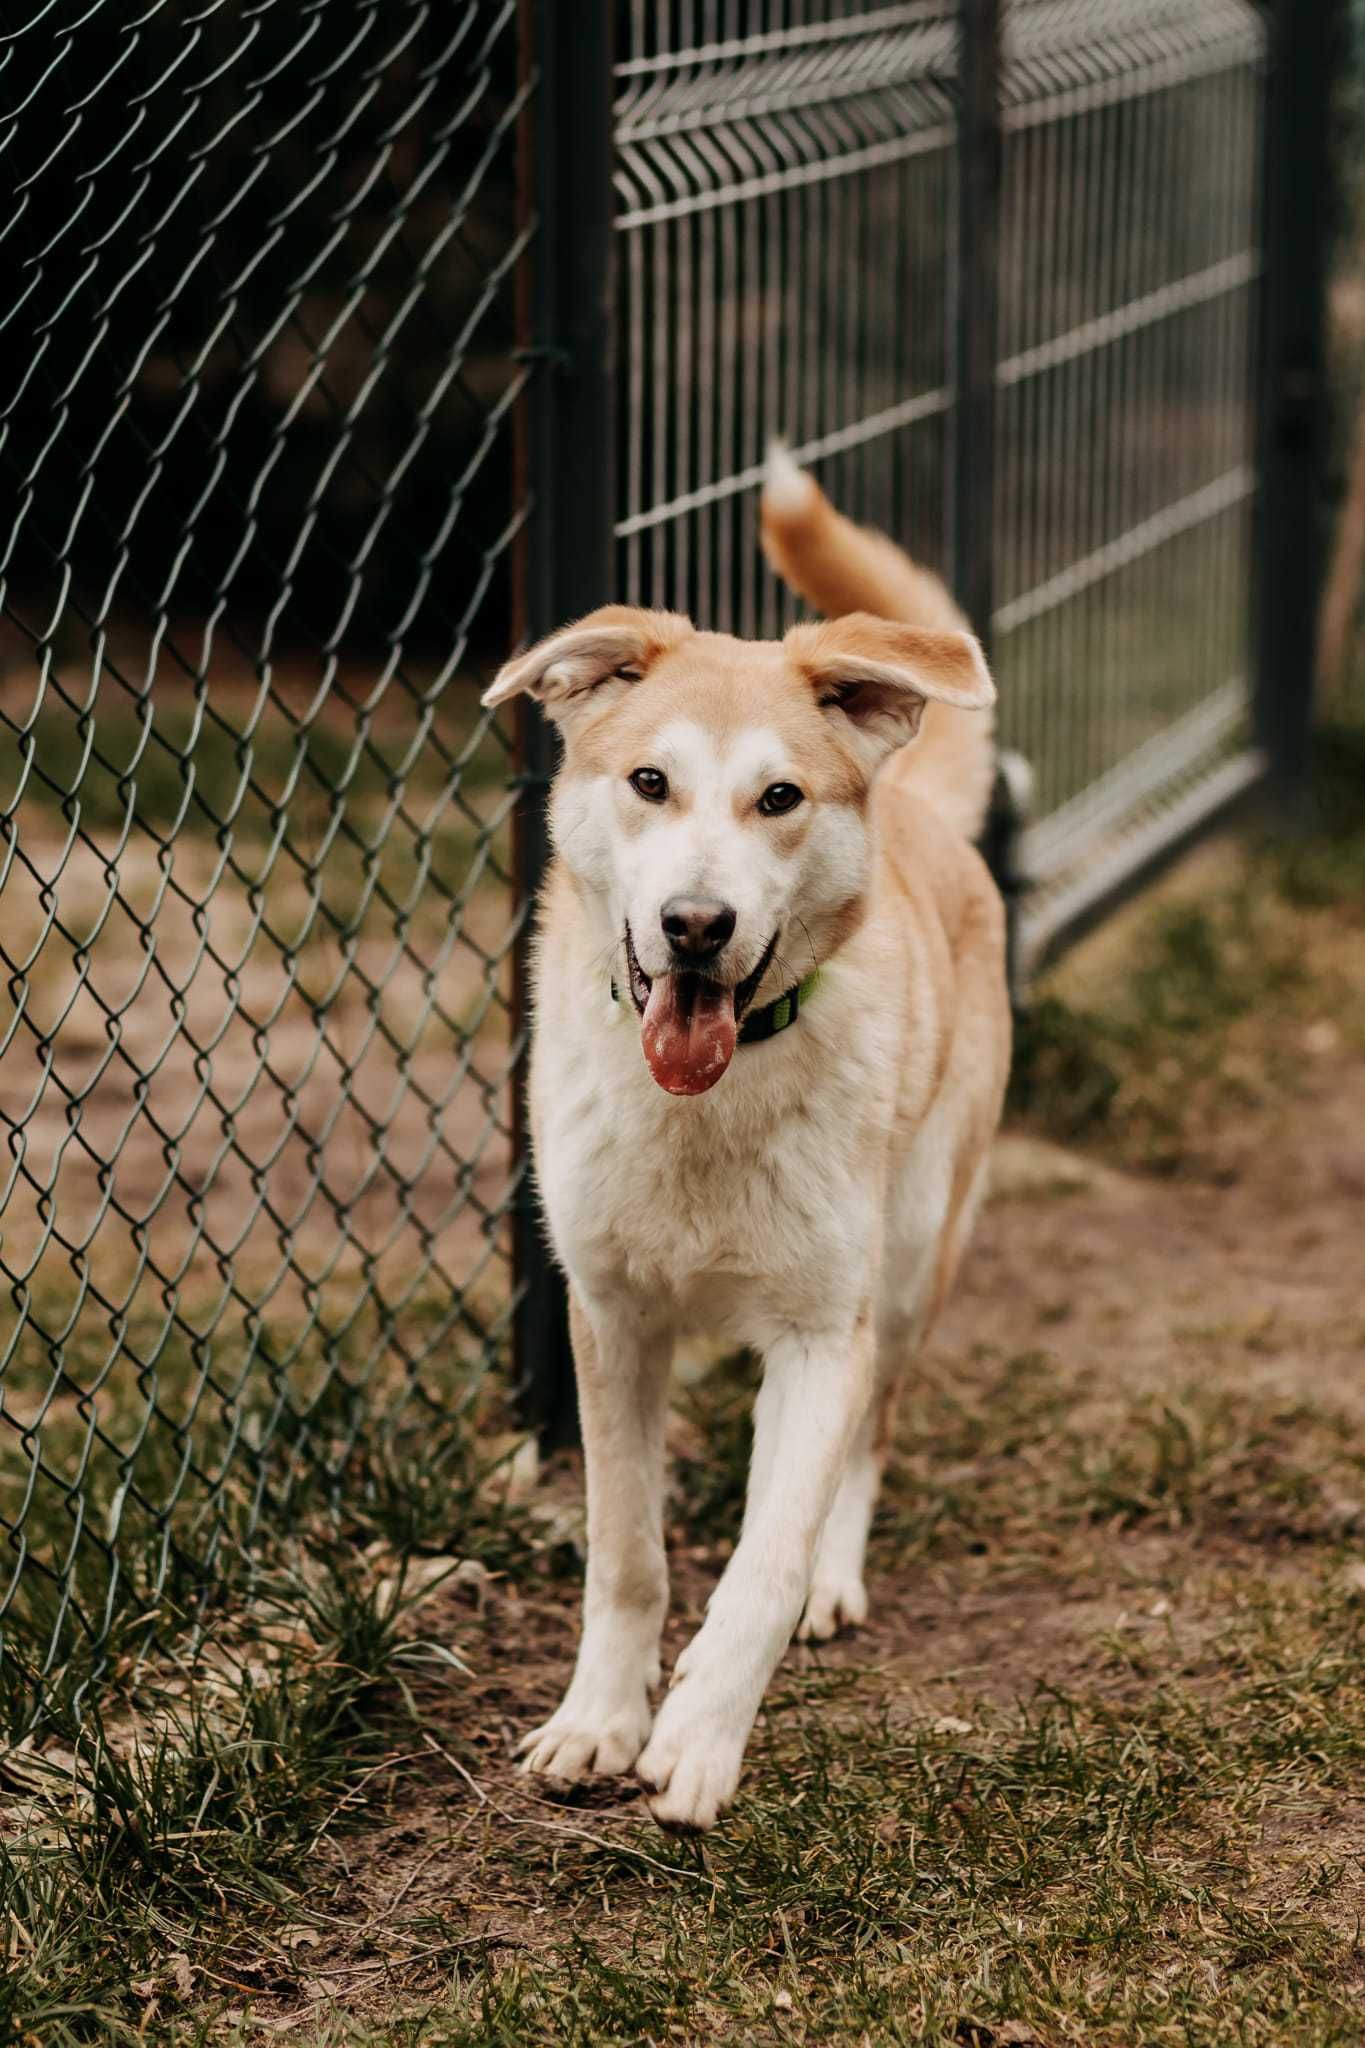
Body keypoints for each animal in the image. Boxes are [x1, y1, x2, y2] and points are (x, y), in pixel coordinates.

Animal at [482, 448, 1015, 1826]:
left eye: (779, 796)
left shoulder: (823, 1333)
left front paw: (700, 1735)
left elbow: (761, 1565)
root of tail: (919, 809)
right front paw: (600, 1720)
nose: (695, 925)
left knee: (862, 1447)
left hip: (911, 1266)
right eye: (648, 781)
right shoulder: (610, 1316)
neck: (705, 1111)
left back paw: (834, 1574)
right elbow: (626, 1552)